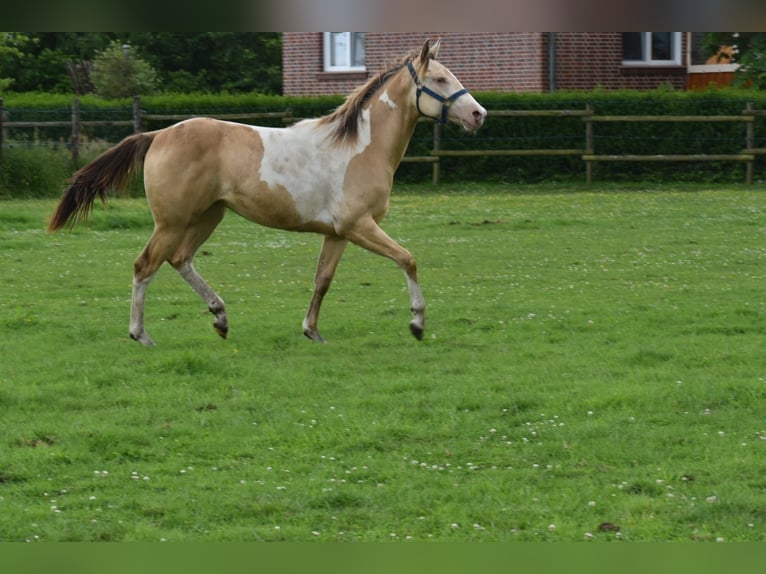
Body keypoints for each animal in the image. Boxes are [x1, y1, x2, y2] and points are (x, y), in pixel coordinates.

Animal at [48, 39, 487, 346]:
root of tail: (158, 135)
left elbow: (322, 280)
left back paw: (220, 317)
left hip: (208, 215)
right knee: (145, 266)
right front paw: (417, 323)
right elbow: (408, 259)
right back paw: (141, 335)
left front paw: (312, 331)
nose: (478, 114)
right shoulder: (359, 226)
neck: (360, 146)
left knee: (179, 259)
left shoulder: (338, 233)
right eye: (440, 80)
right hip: (172, 221)